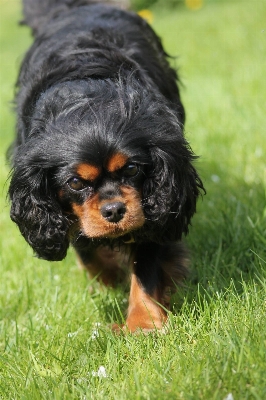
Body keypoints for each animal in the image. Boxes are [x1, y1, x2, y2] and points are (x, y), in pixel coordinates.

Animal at [8, 0, 204, 332]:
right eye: (75, 183)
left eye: (132, 170)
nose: (113, 211)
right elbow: (85, 247)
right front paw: (110, 278)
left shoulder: (155, 205)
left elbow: (146, 265)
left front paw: (142, 324)